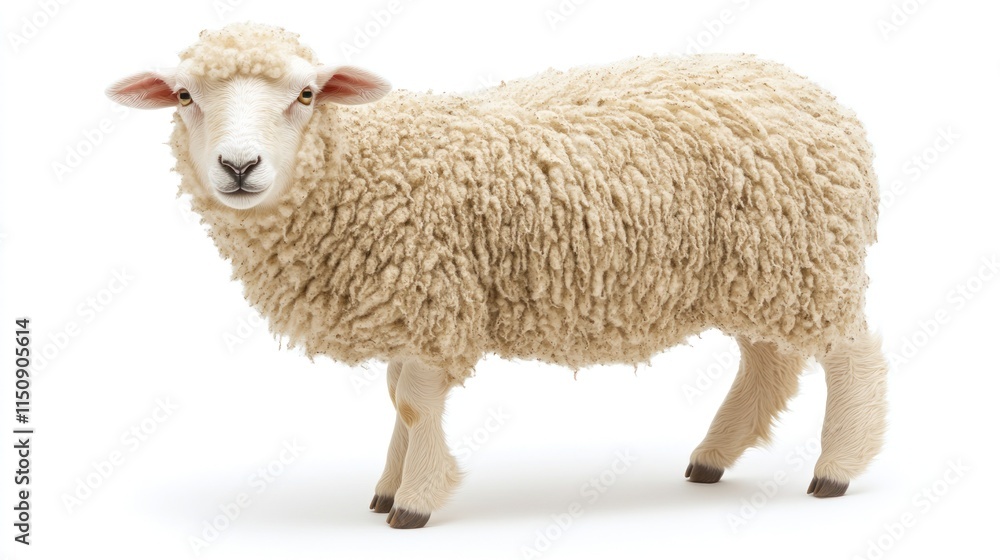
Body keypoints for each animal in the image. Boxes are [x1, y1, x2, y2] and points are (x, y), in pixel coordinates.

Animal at [107, 22, 889, 529]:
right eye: (184, 96)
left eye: (305, 95)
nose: (239, 166)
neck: (358, 168)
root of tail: (819, 98)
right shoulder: (410, 304)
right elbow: (396, 400)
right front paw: (386, 488)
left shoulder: (433, 297)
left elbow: (414, 405)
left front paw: (415, 501)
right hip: (762, 269)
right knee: (768, 360)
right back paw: (714, 457)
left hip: (808, 260)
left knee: (851, 356)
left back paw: (837, 469)